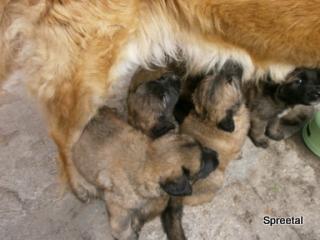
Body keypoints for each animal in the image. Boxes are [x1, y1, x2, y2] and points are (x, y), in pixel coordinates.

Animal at [73, 107, 219, 240]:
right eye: (202, 166)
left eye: (202, 146)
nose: (217, 155)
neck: (147, 161)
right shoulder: (117, 206)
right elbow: (121, 227)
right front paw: (129, 234)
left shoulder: (157, 200)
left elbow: (146, 213)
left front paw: (137, 222)